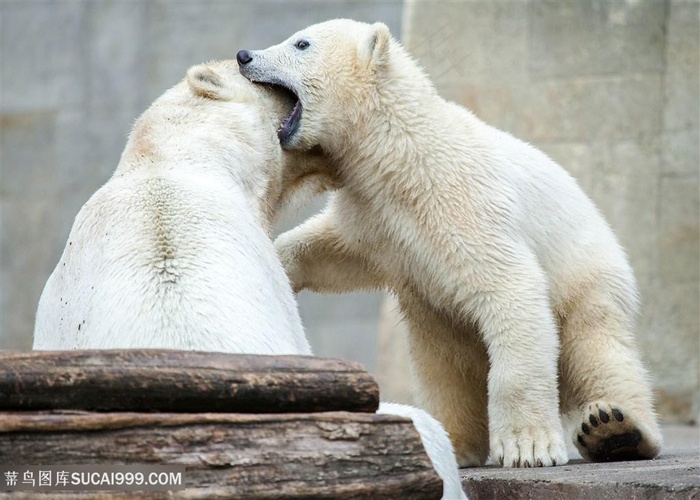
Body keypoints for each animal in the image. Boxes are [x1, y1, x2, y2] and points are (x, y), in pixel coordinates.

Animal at [238, 16, 664, 468]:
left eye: (301, 43)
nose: (244, 55)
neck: (399, 148)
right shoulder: (376, 212)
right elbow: (338, 251)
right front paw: (275, 264)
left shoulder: (458, 199)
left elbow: (510, 286)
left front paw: (528, 447)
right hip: (444, 319)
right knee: (447, 365)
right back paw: (455, 441)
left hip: (589, 277)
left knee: (599, 349)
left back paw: (615, 429)